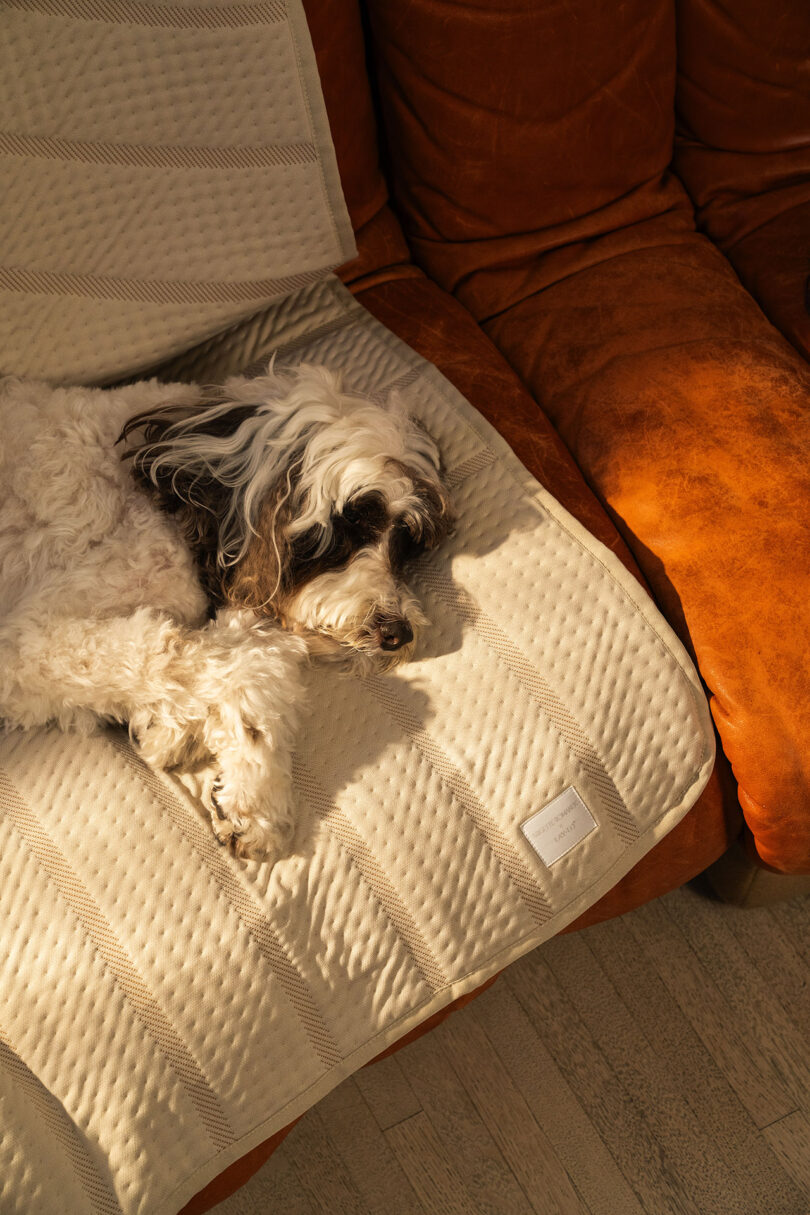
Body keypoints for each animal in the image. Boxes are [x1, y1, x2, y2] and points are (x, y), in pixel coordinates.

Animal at [0, 364, 456, 860]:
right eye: (351, 522)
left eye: (405, 541)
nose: (398, 632)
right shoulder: (28, 644)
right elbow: (221, 661)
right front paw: (251, 791)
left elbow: (249, 659)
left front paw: (211, 765)